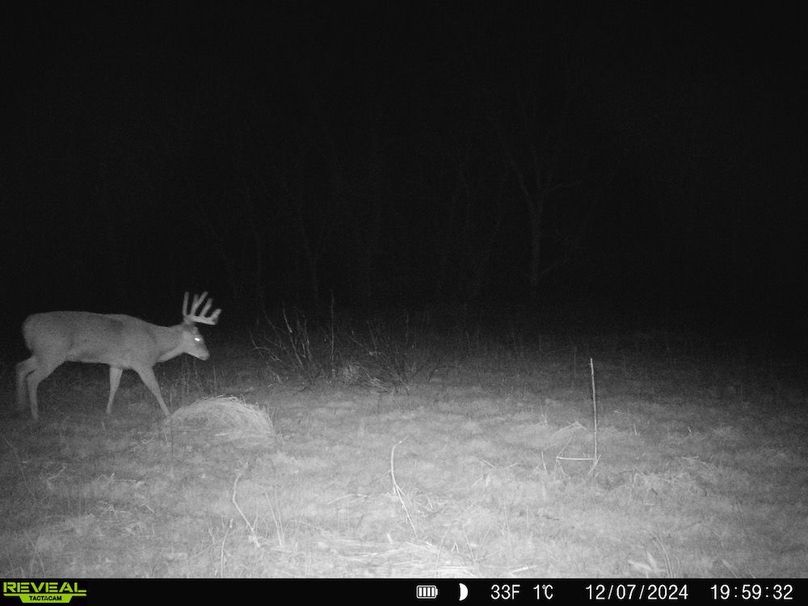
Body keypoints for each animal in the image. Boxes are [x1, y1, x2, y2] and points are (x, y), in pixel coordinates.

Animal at [16, 292, 221, 421]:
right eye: (198, 338)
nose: (207, 355)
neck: (156, 343)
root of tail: (27, 325)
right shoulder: (142, 362)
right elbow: (155, 388)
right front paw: (168, 414)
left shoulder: (117, 364)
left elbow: (113, 386)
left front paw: (108, 412)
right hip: (52, 352)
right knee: (32, 378)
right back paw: (35, 415)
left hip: (41, 353)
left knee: (20, 368)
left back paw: (21, 406)